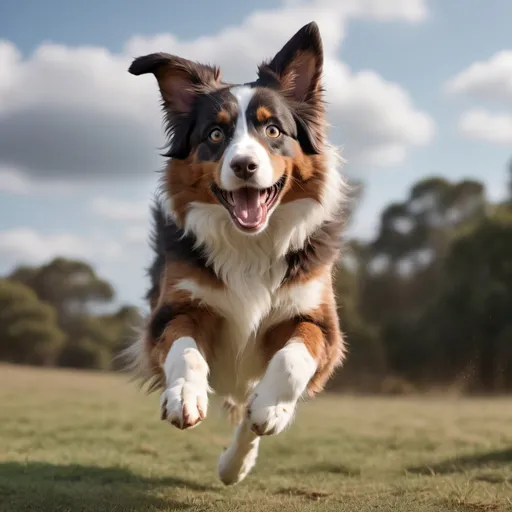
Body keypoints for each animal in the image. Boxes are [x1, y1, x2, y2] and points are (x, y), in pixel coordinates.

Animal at [124, 20, 348, 484]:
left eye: (273, 130)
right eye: (215, 134)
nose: (244, 165)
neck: (250, 244)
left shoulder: (321, 324)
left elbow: (292, 359)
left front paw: (272, 407)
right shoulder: (174, 309)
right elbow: (184, 348)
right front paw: (184, 396)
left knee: (250, 408)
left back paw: (239, 457)